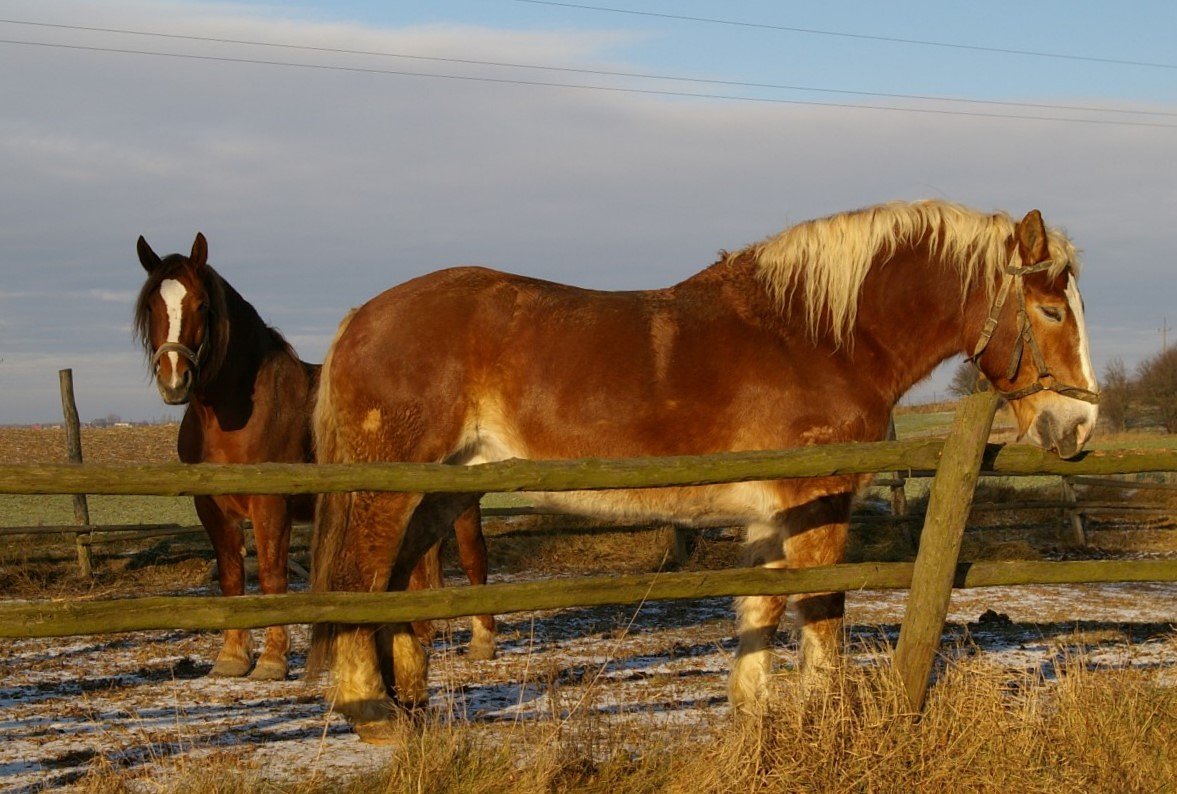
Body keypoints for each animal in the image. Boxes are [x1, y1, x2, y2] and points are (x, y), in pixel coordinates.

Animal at [134, 234, 497, 680]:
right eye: (151, 306)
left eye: (202, 304)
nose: (174, 380)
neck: (238, 414)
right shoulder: (212, 507)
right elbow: (232, 578)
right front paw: (232, 658)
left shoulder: (271, 505)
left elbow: (272, 578)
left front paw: (271, 661)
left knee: (473, 555)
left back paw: (482, 641)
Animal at [307, 200, 1099, 736]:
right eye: (1052, 312)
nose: (1080, 424)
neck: (814, 338)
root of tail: (358, 319)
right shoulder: (815, 504)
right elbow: (820, 610)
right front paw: (824, 718)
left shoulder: (768, 515)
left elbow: (759, 611)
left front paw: (753, 717)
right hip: (389, 490)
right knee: (359, 582)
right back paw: (374, 714)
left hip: (438, 492)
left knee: (398, 586)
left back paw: (412, 709)